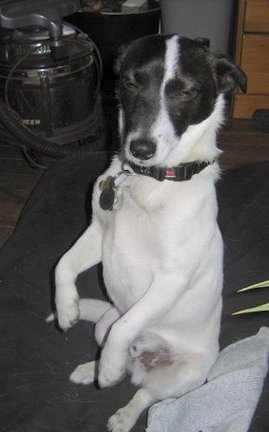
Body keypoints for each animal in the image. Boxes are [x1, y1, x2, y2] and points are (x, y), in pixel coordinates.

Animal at [51, 35, 245, 432]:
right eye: (130, 83)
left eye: (186, 91)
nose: (140, 149)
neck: (150, 183)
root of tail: (146, 360)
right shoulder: (98, 234)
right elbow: (62, 266)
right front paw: (66, 309)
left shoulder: (172, 278)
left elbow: (128, 325)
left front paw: (109, 367)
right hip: (103, 323)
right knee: (118, 351)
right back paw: (91, 368)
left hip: (184, 376)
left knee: (144, 393)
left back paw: (121, 404)